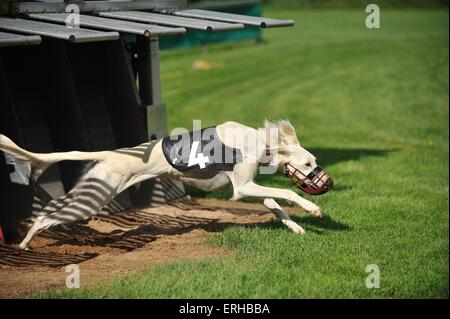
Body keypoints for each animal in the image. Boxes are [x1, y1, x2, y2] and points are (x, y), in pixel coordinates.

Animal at [0, 120, 334, 250]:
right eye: (308, 165)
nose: (328, 182)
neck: (260, 141)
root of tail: (109, 154)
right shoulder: (242, 188)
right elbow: (285, 192)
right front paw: (313, 209)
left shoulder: (246, 185)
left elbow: (275, 204)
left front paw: (296, 227)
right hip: (94, 196)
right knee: (46, 215)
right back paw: (25, 243)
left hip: (92, 190)